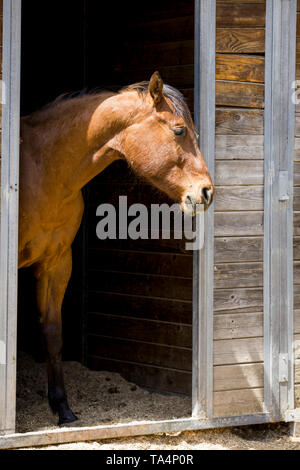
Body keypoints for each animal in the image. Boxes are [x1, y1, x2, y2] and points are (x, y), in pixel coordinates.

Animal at [18, 70, 213, 426]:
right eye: (179, 130)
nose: (206, 191)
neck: (43, 168)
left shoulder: (57, 264)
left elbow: (53, 334)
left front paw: (63, 408)